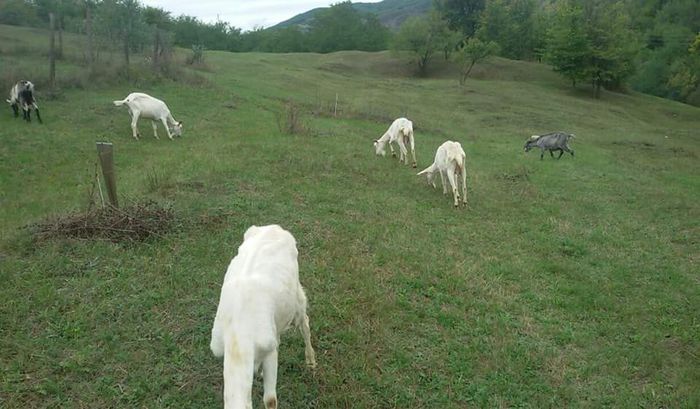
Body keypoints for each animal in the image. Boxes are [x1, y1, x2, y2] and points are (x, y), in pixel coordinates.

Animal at [209, 225, 316, 406]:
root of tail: (274, 227)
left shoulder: (269, 351)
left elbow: (270, 399)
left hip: (297, 296)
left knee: (305, 323)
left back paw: (311, 361)